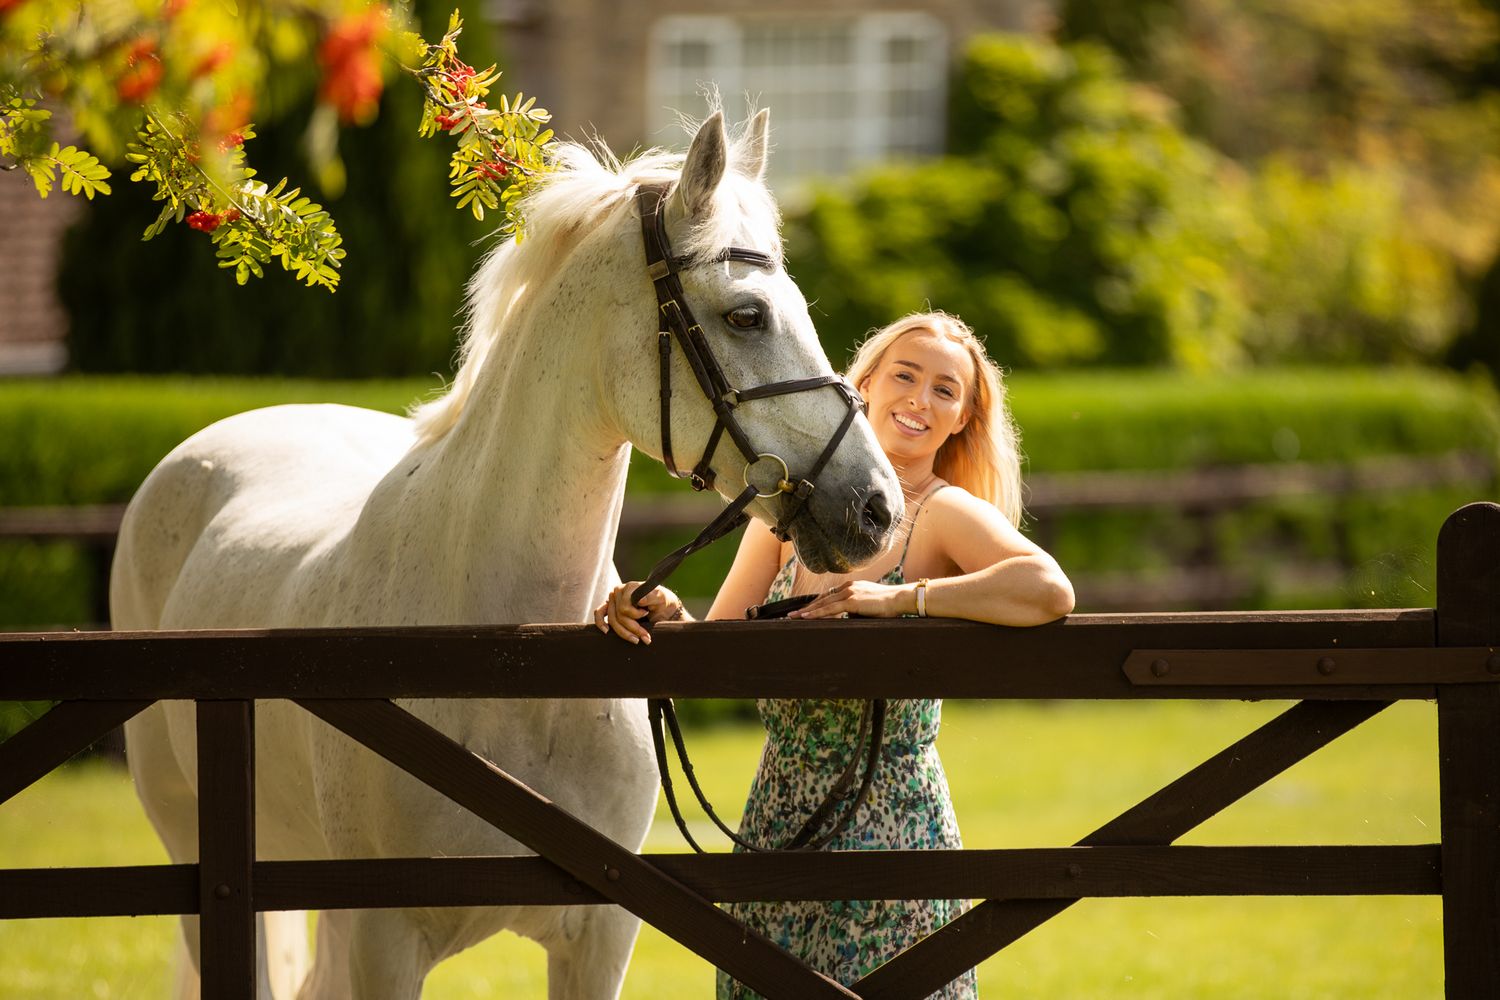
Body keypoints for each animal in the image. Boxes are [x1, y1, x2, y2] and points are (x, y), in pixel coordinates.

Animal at [112, 108, 903, 1000]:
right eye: (746, 316)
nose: (877, 506)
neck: (515, 658)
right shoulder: (387, 941)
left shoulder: (600, 936)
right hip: (199, 851)